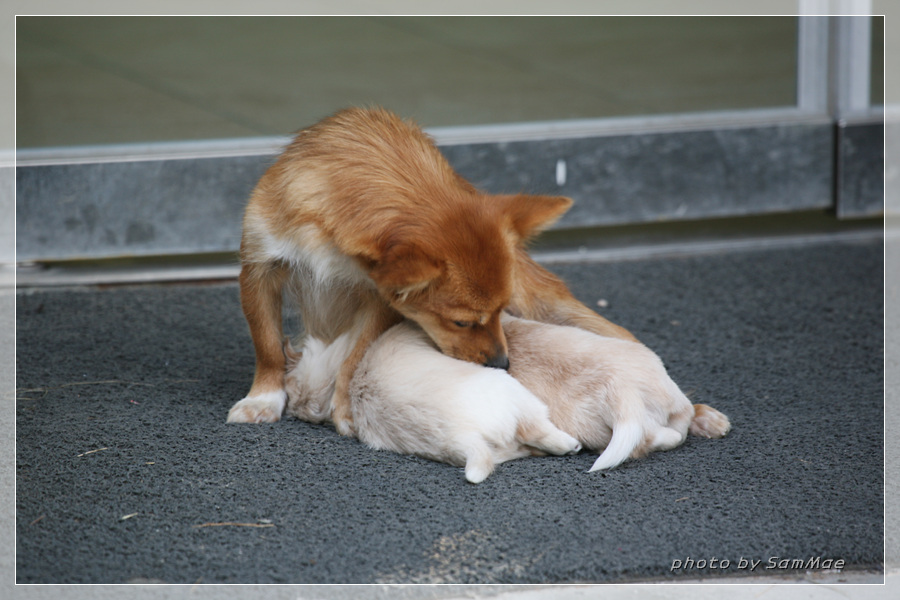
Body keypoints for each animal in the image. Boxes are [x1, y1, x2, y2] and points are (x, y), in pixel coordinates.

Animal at [229, 108, 636, 434]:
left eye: (501, 312)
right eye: (462, 323)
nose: (502, 364)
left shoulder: (379, 300)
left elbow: (354, 355)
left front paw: (343, 407)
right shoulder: (258, 270)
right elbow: (268, 346)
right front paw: (264, 398)